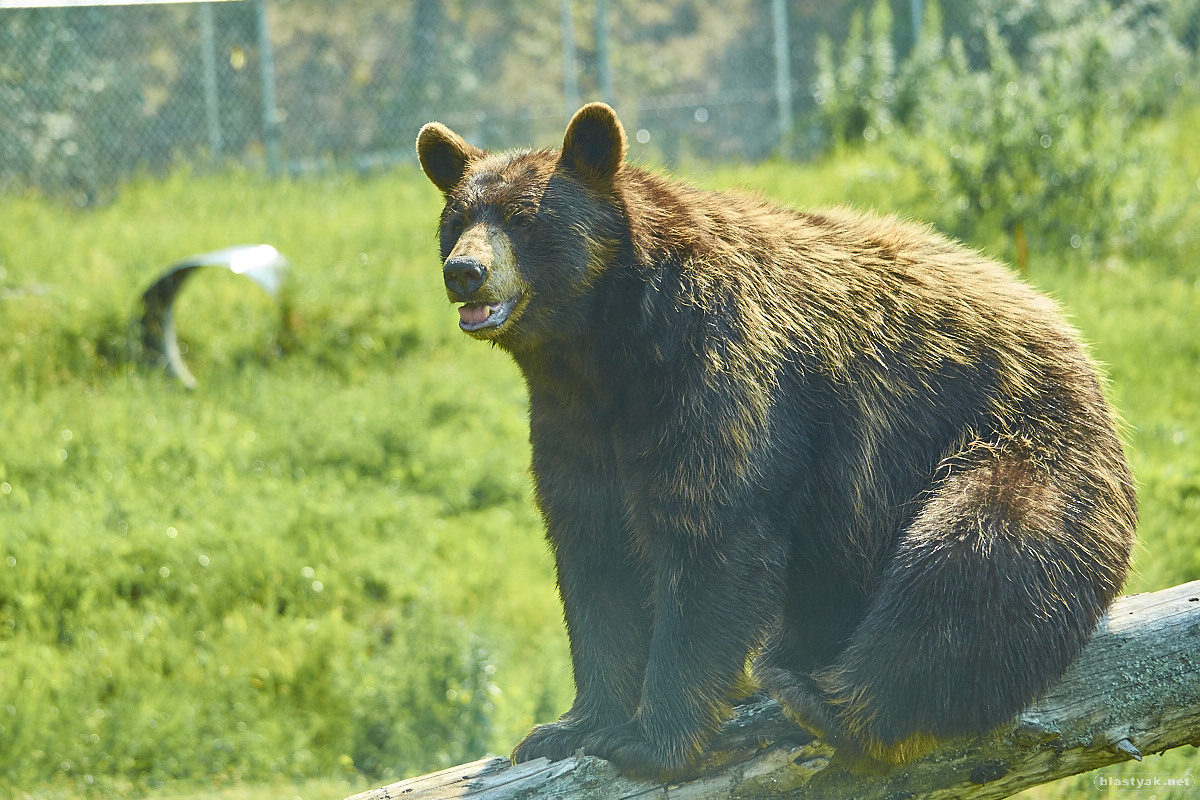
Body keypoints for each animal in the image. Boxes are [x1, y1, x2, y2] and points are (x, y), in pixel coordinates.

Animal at [417, 101, 1137, 782]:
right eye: (458, 219)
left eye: (523, 218)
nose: (465, 272)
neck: (610, 348)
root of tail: (1075, 344)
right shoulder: (575, 423)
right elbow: (595, 558)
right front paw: (567, 725)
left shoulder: (723, 376)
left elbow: (713, 539)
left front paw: (649, 739)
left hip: (1017, 445)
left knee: (971, 563)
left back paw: (823, 699)